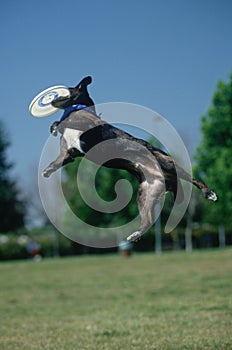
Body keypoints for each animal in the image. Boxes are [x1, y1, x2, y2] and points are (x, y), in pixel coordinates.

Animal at [42, 75, 218, 242]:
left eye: (67, 90)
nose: (52, 97)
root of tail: (166, 177)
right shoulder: (69, 153)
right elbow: (58, 161)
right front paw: (48, 170)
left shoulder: (88, 125)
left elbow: (65, 122)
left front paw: (56, 125)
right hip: (145, 195)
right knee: (148, 220)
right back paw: (135, 234)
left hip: (166, 163)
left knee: (193, 179)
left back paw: (209, 193)